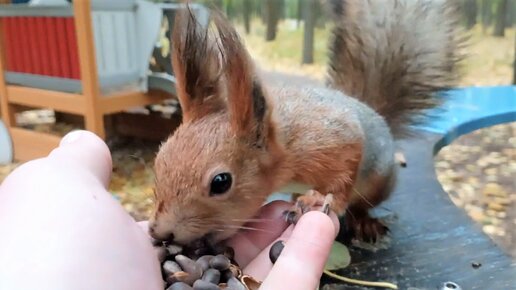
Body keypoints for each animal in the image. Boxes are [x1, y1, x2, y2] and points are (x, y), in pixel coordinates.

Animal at [147, 0, 462, 246]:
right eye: (159, 162)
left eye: (221, 182)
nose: (161, 232)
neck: (286, 145)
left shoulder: (333, 141)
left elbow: (344, 175)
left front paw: (321, 200)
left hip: (379, 182)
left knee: (363, 204)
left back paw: (363, 220)